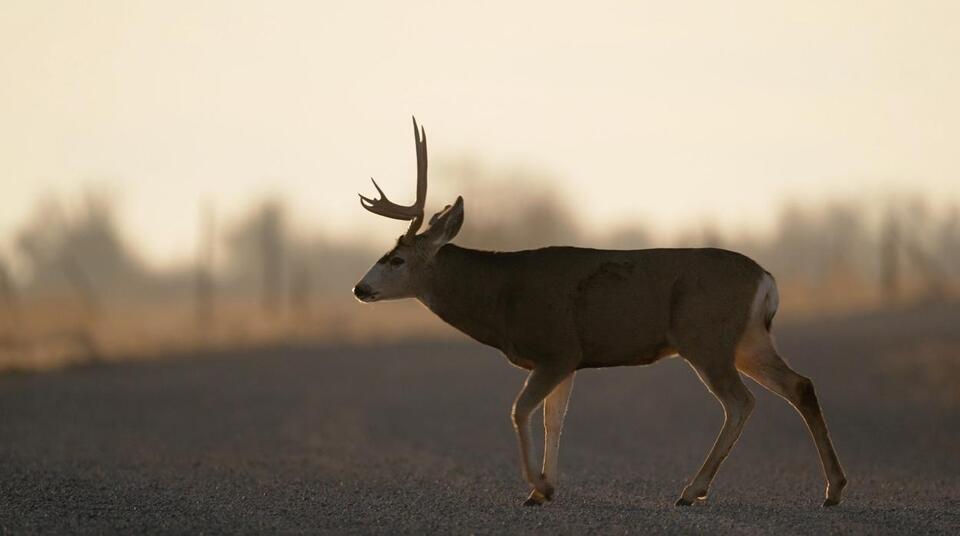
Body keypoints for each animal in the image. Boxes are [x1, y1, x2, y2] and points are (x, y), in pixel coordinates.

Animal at [353, 118, 847, 508]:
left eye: (396, 259)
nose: (360, 288)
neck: (501, 296)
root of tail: (766, 277)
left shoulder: (556, 349)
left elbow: (520, 410)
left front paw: (538, 486)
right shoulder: (569, 359)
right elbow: (555, 419)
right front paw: (543, 490)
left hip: (706, 337)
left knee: (741, 402)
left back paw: (692, 490)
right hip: (747, 338)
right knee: (800, 385)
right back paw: (833, 489)